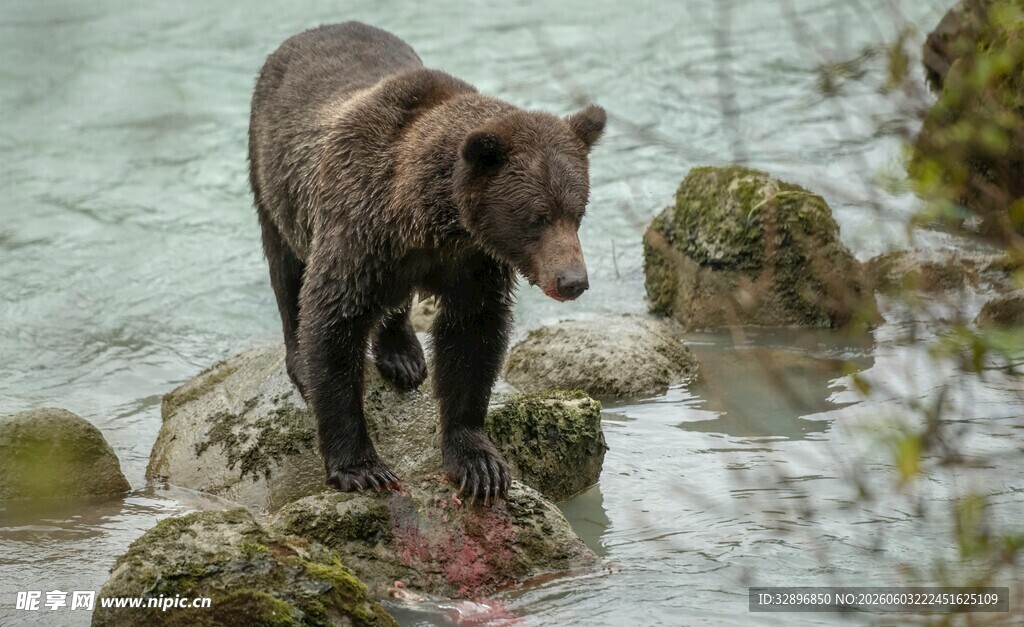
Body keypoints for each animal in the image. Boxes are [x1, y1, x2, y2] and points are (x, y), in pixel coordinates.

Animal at [248, 22, 605, 503]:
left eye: (577, 211)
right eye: (538, 216)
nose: (572, 281)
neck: (427, 217)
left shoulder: (471, 265)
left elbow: (472, 340)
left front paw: (479, 463)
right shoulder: (358, 230)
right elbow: (332, 322)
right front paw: (361, 467)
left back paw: (403, 354)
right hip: (272, 178)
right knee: (286, 272)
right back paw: (301, 357)